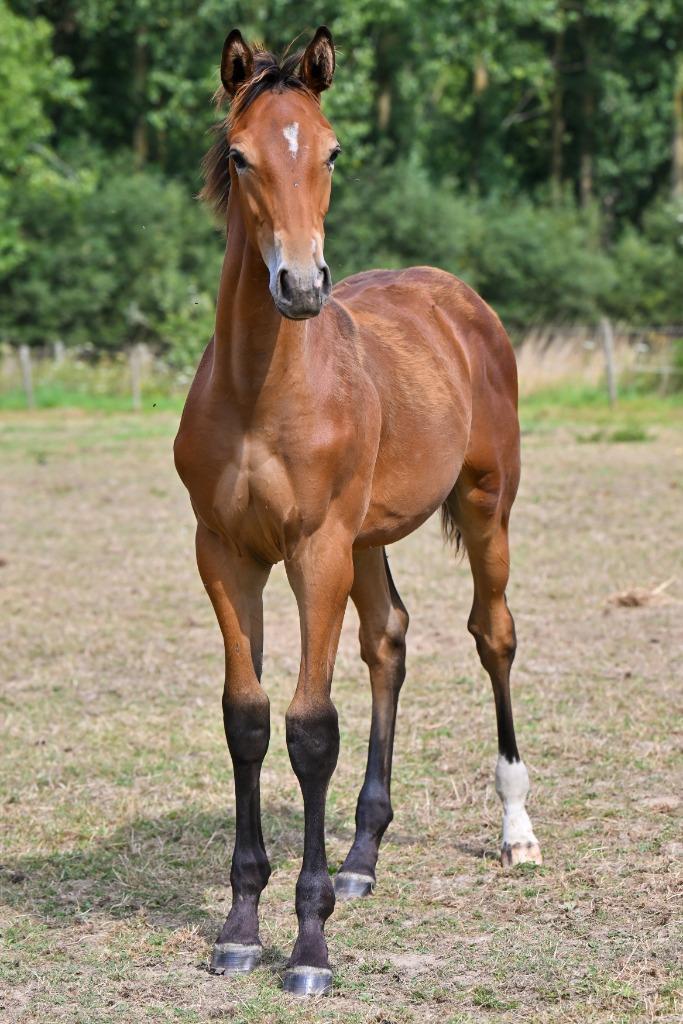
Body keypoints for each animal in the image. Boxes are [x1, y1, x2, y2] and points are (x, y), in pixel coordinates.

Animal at [174, 26, 542, 997]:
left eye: (332, 150)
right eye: (240, 155)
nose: (300, 285)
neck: (262, 391)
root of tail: (457, 297)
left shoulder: (315, 551)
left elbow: (310, 730)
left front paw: (307, 946)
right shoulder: (225, 553)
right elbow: (247, 716)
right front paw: (240, 926)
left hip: (482, 506)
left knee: (491, 634)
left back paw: (516, 830)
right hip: (368, 539)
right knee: (390, 641)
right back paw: (361, 856)